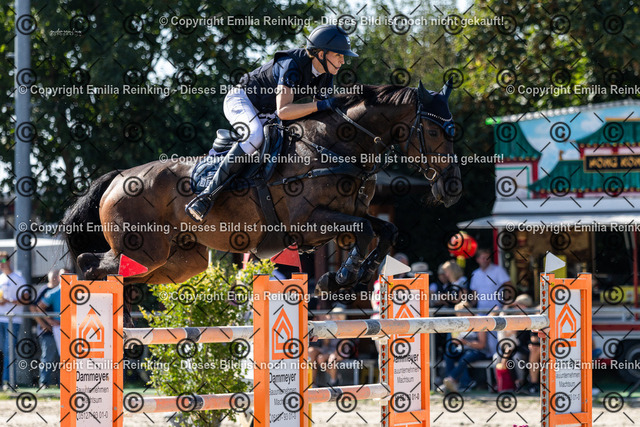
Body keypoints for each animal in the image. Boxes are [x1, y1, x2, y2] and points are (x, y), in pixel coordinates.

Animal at [61, 81, 461, 295]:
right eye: (432, 130)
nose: (453, 188)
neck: (334, 146)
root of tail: (117, 177)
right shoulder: (308, 223)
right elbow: (365, 232)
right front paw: (341, 277)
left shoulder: (347, 216)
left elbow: (384, 230)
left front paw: (350, 276)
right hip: (143, 248)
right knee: (90, 263)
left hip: (177, 261)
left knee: (123, 273)